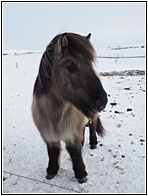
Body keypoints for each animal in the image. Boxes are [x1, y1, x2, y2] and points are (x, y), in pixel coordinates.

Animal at [31, 32, 107, 184]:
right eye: (71, 67)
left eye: (90, 64)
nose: (102, 101)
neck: (54, 115)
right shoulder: (48, 134)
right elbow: (53, 152)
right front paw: (51, 171)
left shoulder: (71, 132)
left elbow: (74, 151)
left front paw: (81, 174)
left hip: (92, 116)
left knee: (93, 126)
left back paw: (93, 143)